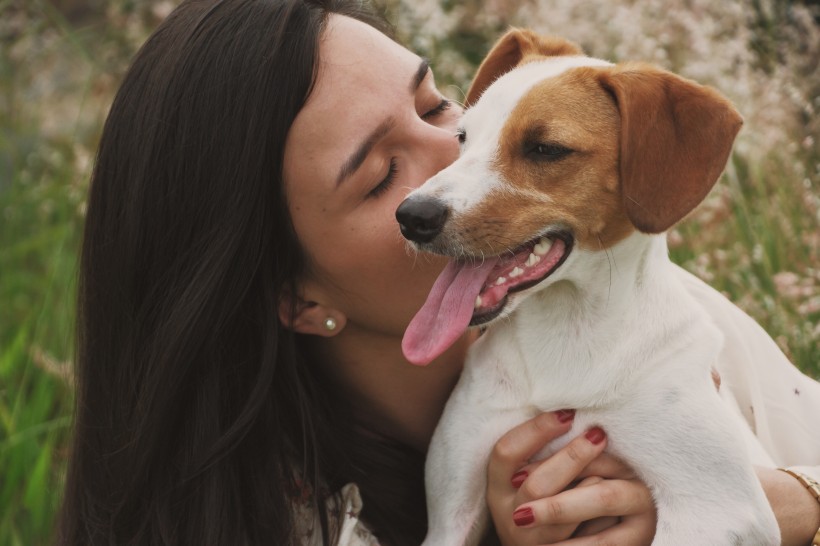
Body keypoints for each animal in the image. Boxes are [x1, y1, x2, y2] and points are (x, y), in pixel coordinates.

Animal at [398, 30, 780, 544]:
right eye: (463, 137)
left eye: (545, 148)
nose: (410, 215)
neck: (569, 333)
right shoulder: (451, 510)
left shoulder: (717, 508)